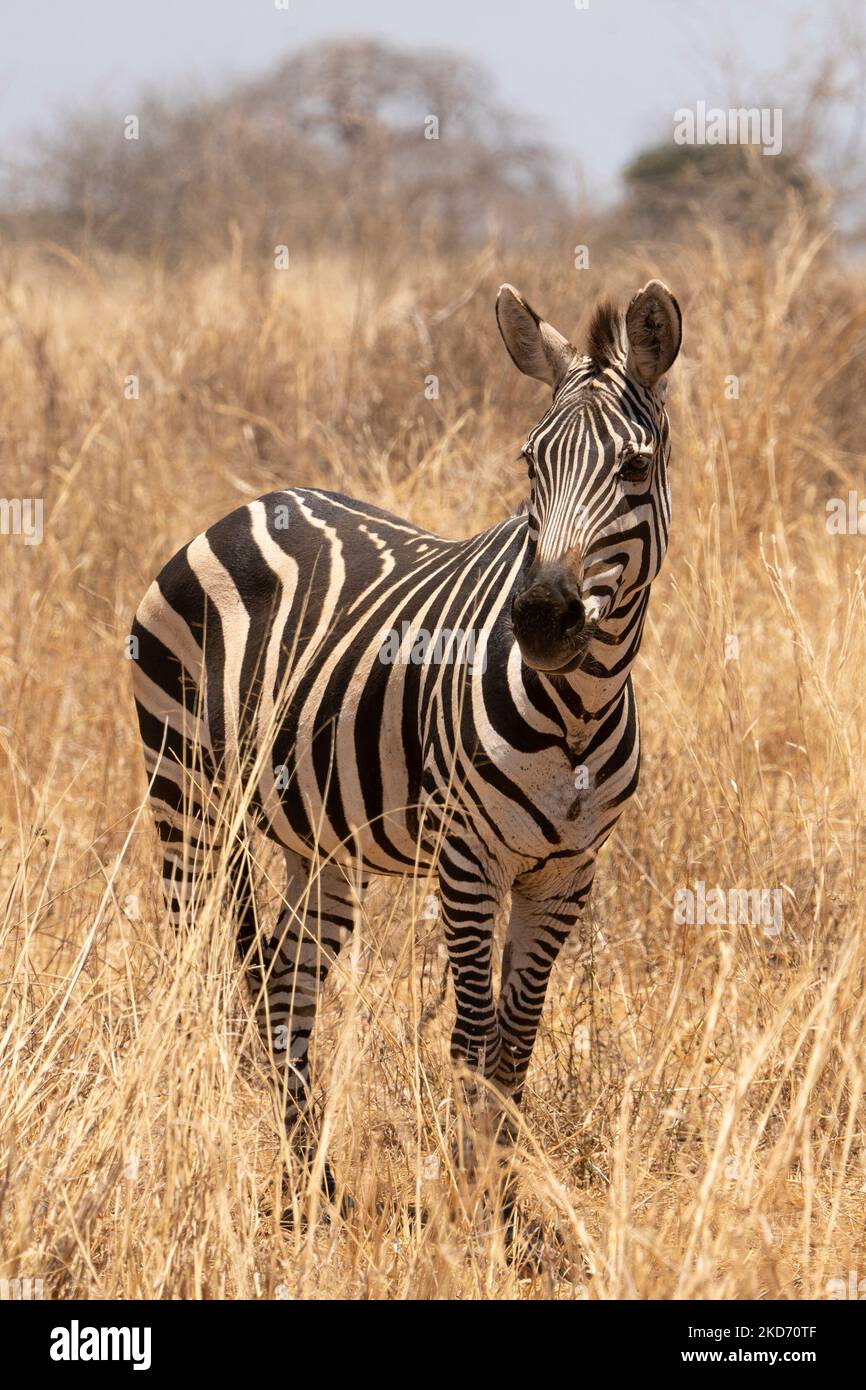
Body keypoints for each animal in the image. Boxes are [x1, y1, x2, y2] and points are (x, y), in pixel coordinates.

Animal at [131, 278, 682, 1215]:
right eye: (530, 463)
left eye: (635, 468)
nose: (541, 618)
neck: (578, 707)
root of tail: (248, 505)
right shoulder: (467, 861)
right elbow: (470, 1036)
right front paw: (466, 1206)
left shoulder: (566, 874)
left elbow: (515, 1043)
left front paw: (499, 1204)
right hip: (186, 793)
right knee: (195, 968)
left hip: (321, 847)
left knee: (285, 993)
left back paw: (314, 1186)